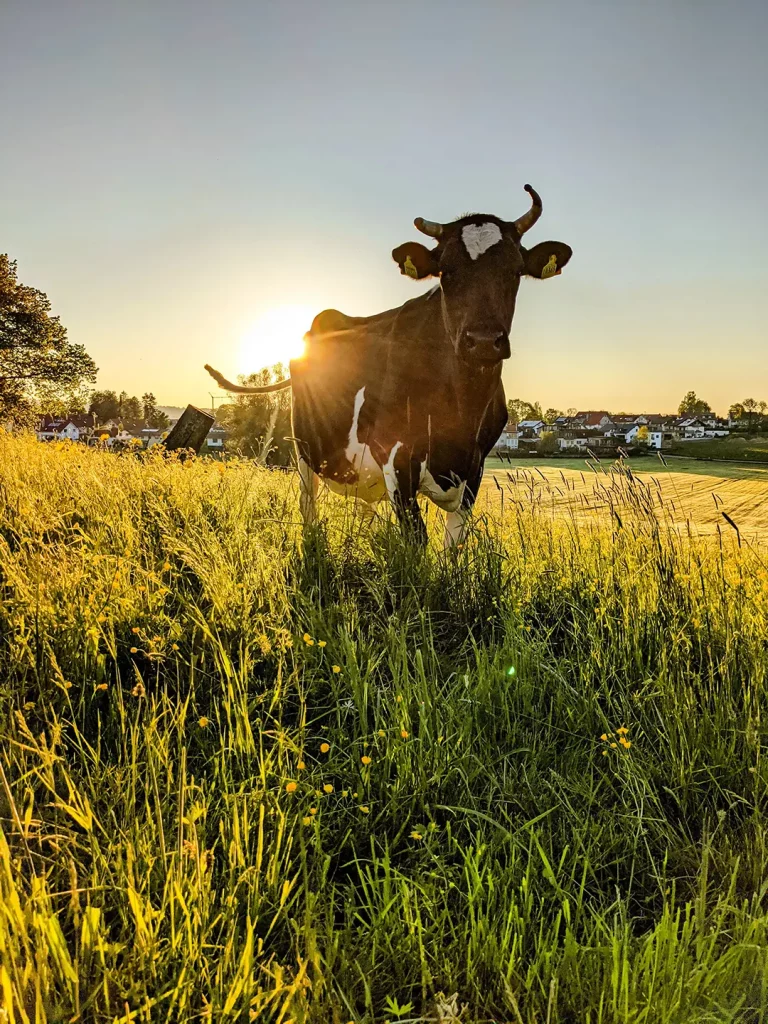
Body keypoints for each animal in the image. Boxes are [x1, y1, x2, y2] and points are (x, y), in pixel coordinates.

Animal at [206, 185, 572, 547]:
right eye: (446, 272)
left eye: (514, 271)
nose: (483, 340)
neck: (460, 409)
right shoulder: (397, 459)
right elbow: (416, 538)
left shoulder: (475, 467)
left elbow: (454, 543)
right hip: (304, 451)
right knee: (307, 503)